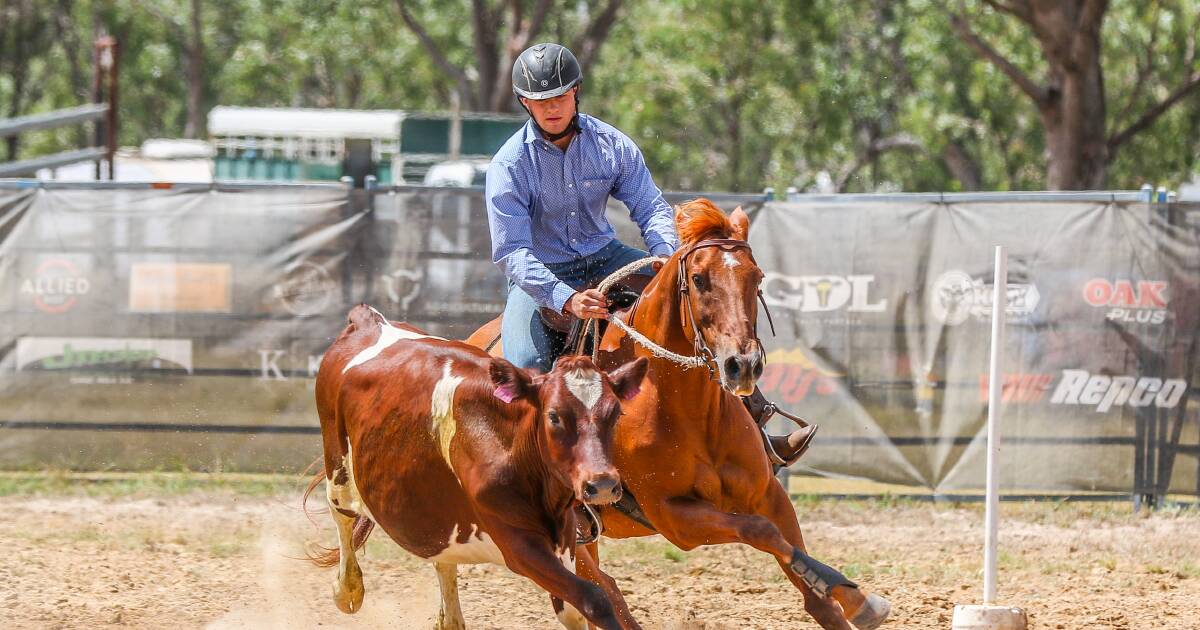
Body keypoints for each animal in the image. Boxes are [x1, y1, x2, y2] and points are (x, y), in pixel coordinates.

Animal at [468, 199, 892, 624]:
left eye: (757, 277)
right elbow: (761, 531)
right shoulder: (675, 518)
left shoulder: (767, 493)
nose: (743, 364)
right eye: (700, 279)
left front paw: (857, 601)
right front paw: (850, 592)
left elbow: (809, 586)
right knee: (599, 590)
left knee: (603, 587)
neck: (684, 408)